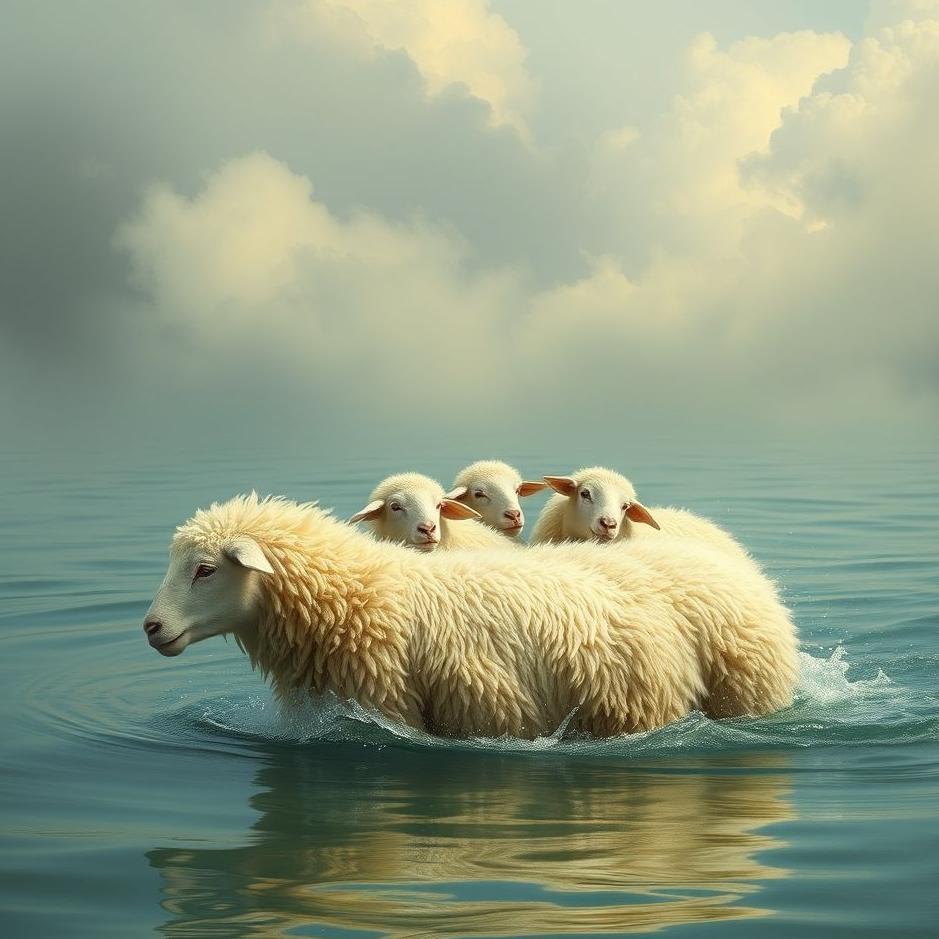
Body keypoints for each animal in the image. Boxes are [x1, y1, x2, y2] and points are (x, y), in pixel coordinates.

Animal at [143, 493, 799, 738]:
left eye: (205, 569)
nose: (152, 627)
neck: (360, 591)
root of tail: (753, 576)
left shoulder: (390, 703)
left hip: (738, 687)